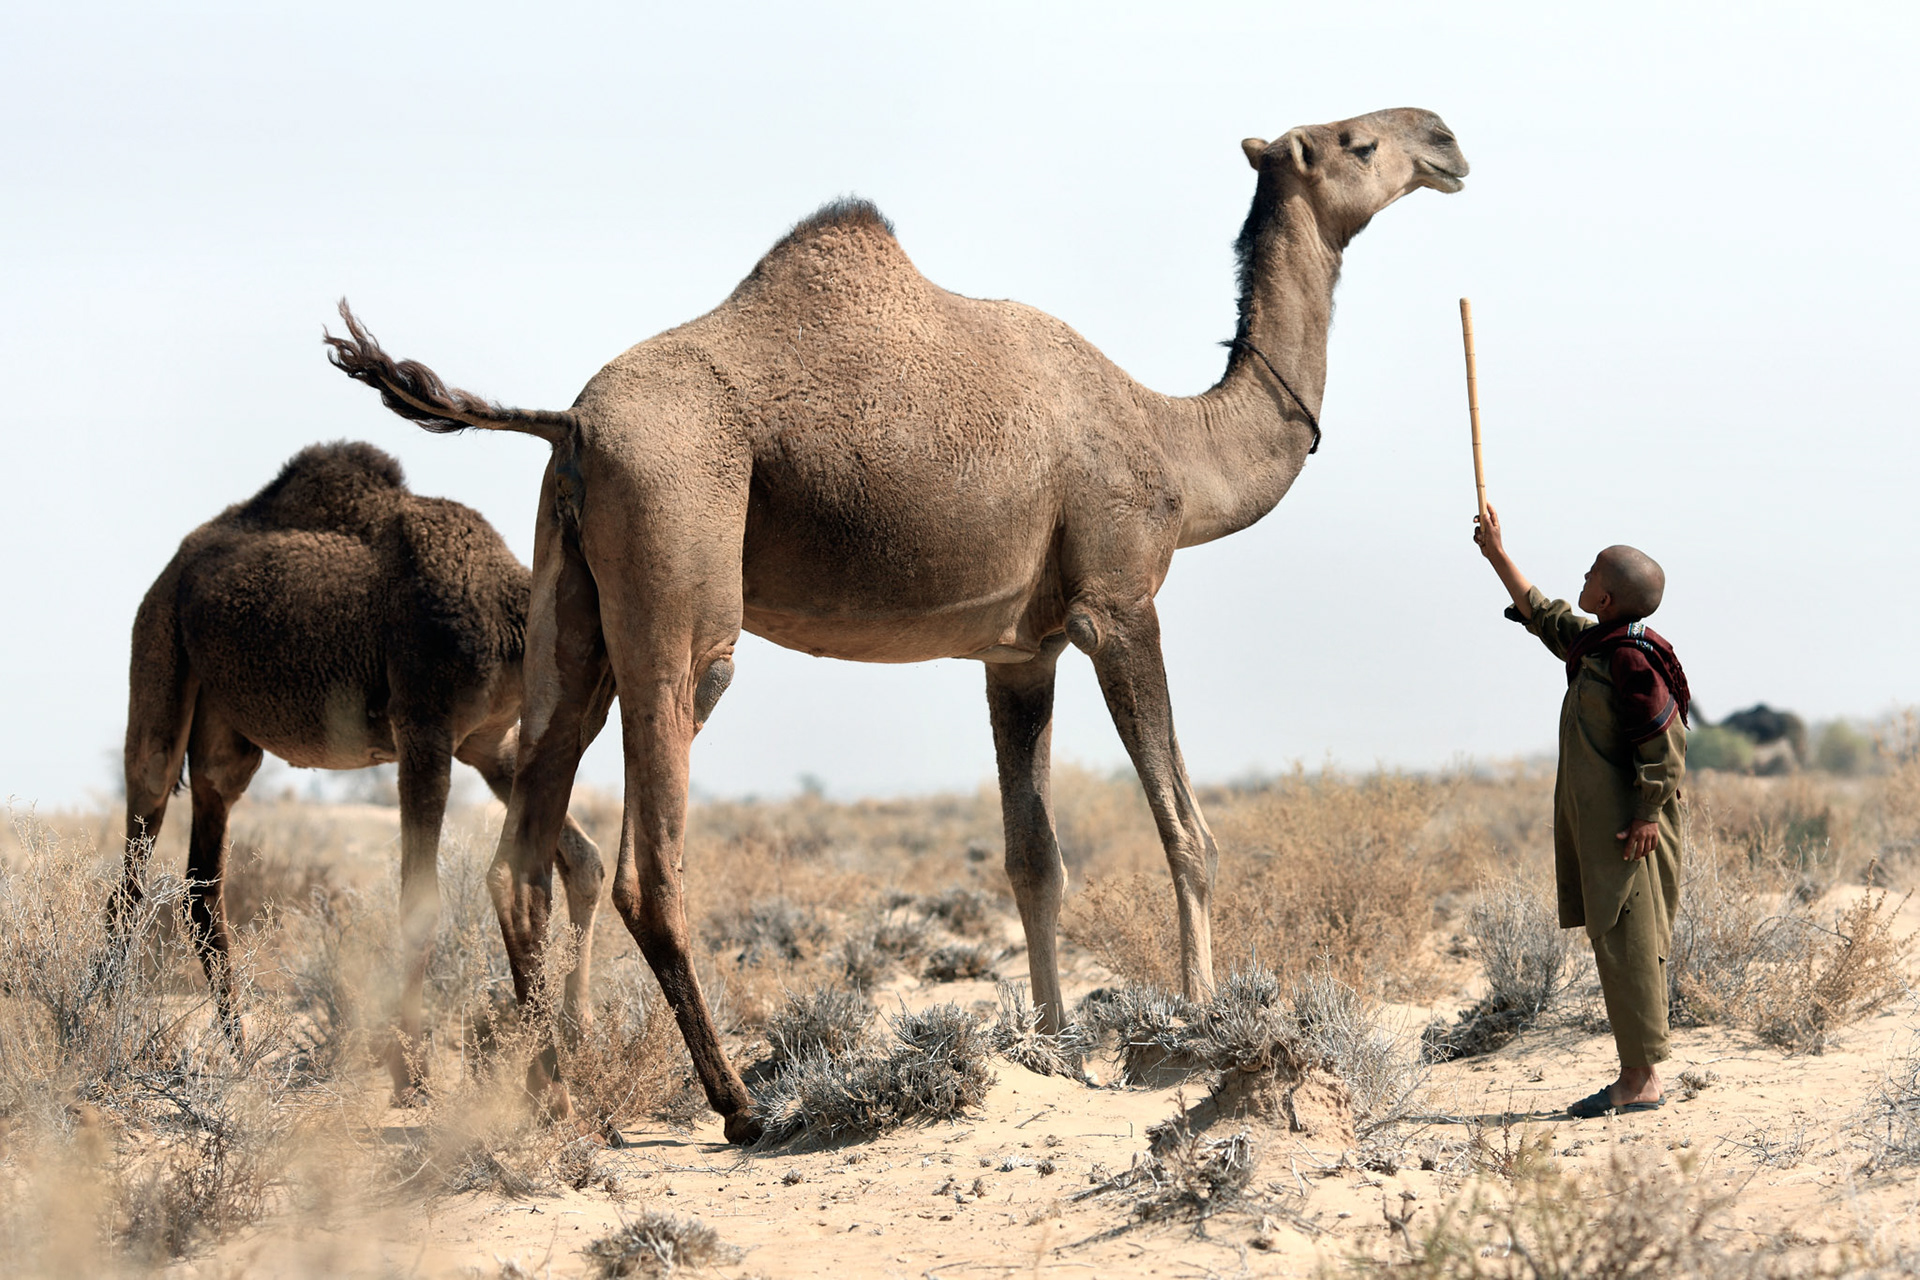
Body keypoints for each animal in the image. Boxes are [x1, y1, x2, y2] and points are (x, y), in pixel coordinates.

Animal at [119, 441, 604, 1098]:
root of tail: (175, 565)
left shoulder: (490, 743)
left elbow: (584, 862)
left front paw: (581, 1040)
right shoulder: (424, 727)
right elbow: (419, 900)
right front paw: (411, 1074)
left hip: (225, 733)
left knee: (202, 875)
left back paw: (240, 1051)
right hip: (159, 648)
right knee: (137, 845)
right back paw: (101, 1025)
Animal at [326, 107, 1467, 1143]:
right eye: (1360, 141)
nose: (1448, 140)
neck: (1176, 446)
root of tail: (569, 421)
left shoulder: (1020, 650)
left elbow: (1034, 856)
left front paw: (1054, 1042)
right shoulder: (1118, 603)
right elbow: (1187, 831)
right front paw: (1200, 1021)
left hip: (572, 612)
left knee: (523, 848)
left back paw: (550, 1093)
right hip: (679, 574)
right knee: (647, 861)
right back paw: (737, 1104)